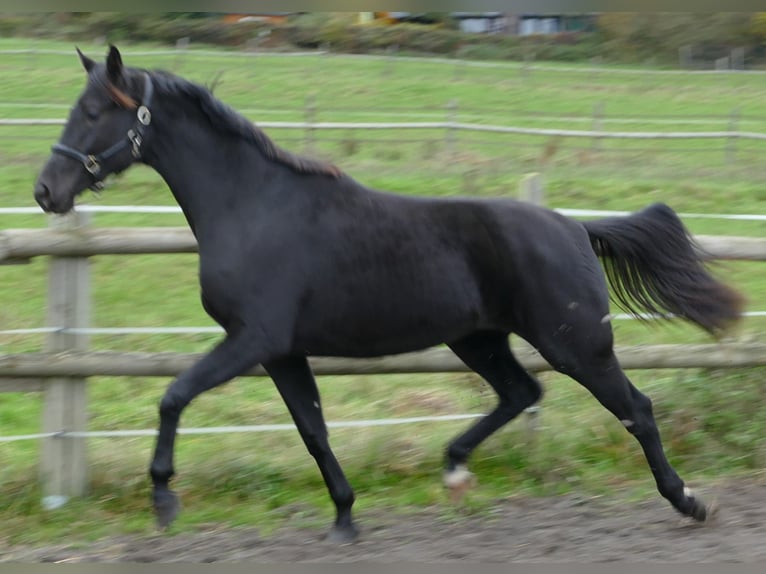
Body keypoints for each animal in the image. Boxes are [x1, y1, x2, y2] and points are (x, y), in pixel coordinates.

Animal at [34, 46, 744, 544]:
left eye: (93, 112)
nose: (46, 191)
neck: (254, 206)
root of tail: (574, 226)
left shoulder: (252, 339)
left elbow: (174, 396)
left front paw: (163, 501)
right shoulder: (282, 352)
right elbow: (313, 431)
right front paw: (346, 518)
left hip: (576, 344)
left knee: (636, 409)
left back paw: (689, 501)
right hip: (478, 339)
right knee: (522, 393)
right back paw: (454, 469)